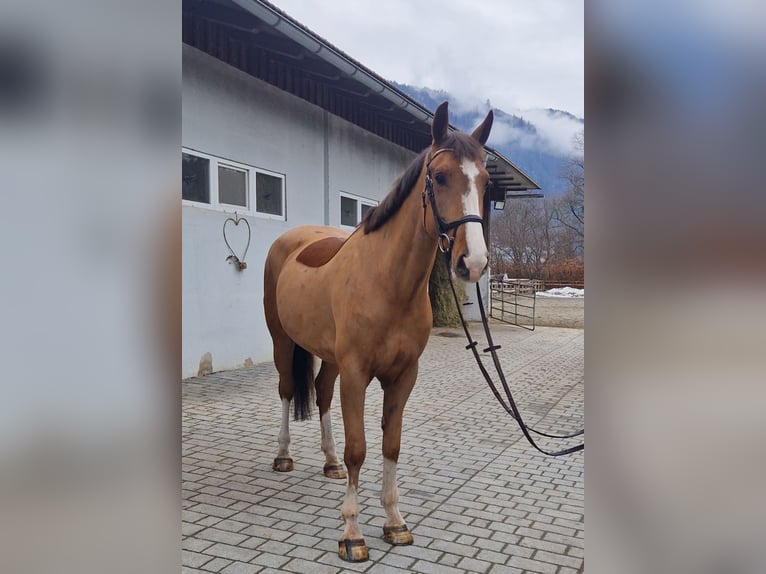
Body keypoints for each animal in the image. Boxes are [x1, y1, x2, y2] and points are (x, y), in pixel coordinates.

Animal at [263, 101, 493, 562]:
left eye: (486, 182)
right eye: (441, 177)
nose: (472, 263)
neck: (388, 283)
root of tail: (291, 239)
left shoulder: (403, 376)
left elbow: (391, 445)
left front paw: (394, 522)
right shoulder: (357, 374)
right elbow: (360, 449)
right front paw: (352, 533)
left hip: (330, 357)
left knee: (321, 393)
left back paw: (329, 462)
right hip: (283, 341)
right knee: (286, 389)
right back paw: (283, 455)